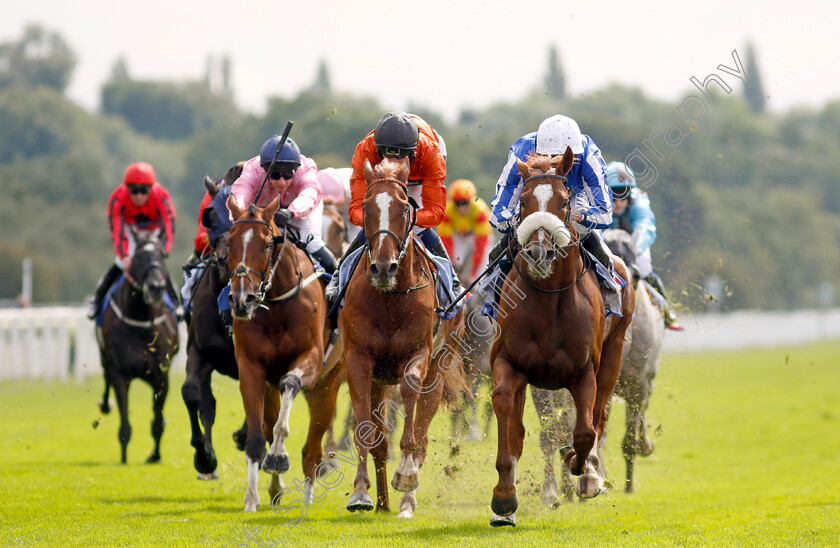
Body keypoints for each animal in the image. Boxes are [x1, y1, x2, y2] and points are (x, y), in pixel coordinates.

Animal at [97, 227, 179, 462]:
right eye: (138, 257)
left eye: (162, 255)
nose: (156, 288)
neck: (141, 320)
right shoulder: (120, 373)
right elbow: (125, 425)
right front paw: (124, 459)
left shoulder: (162, 376)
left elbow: (158, 422)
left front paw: (155, 456)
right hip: (104, 358)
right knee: (105, 377)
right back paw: (104, 404)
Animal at [226, 195, 344, 512]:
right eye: (228, 242)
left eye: (267, 244)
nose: (242, 300)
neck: (277, 302)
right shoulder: (251, 369)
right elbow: (257, 438)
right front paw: (251, 498)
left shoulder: (311, 359)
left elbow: (290, 384)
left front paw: (279, 456)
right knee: (270, 428)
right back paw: (275, 489)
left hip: (329, 384)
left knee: (312, 449)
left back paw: (308, 497)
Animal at [338, 157, 466, 520]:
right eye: (366, 207)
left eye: (404, 208)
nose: (383, 268)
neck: (390, 299)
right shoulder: (359, 360)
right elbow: (366, 431)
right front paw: (361, 492)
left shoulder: (418, 352)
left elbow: (410, 394)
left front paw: (406, 474)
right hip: (380, 380)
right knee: (380, 440)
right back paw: (381, 501)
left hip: (438, 371)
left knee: (422, 433)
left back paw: (407, 500)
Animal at [488, 150, 632, 528]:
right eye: (523, 201)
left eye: (565, 201)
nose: (539, 253)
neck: (548, 299)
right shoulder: (508, 361)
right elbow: (507, 415)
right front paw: (504, 498)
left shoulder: (584, 371)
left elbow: (584, 431)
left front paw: (579, 466)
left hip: (613, 356)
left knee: (598, 416)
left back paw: (590, 473)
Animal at [536, 227, 668, 500]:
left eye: (634, 273)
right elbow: (555, 433)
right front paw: (558, 490)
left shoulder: (637, 384)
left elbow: (627, 437)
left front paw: (627, 483)